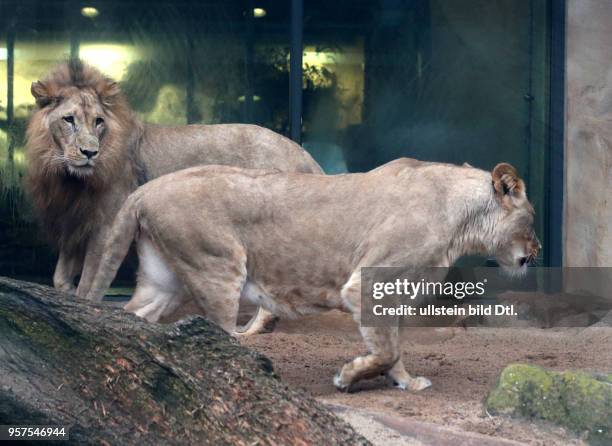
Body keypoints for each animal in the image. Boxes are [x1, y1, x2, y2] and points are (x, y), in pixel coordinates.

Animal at [25, 60, 320, 304]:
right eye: (68, 120)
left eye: (98, 121)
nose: (89, 153)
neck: (68, 178)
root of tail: (303, 153)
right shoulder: (74, 221)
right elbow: (59, 278)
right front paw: (66, 295)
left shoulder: (107, 224)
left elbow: (91, 282)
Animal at [83, 159, 536, 392]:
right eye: (532, 220)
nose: (538, 252)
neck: (461, 223)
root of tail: (143, 190)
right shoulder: (366, 284)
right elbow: (386, 348)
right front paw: (348, 378)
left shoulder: (391, 292)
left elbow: (395, 347)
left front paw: (405, 382)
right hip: (218, 267)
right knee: (219, 337)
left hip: (165, 281)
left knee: (132, 316)